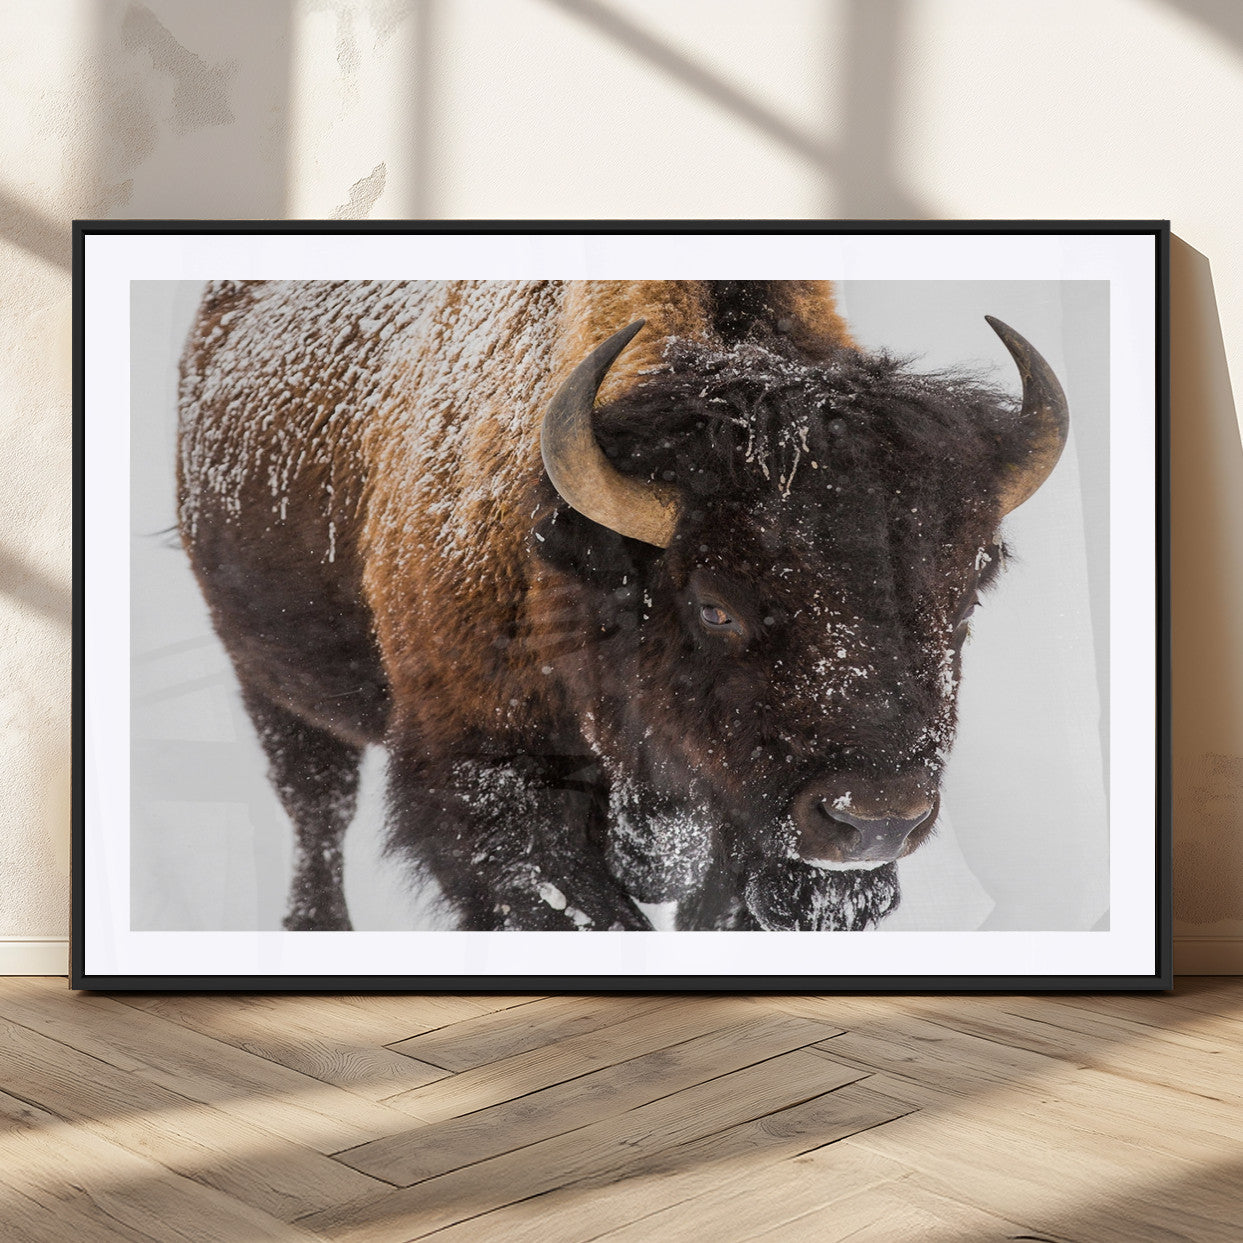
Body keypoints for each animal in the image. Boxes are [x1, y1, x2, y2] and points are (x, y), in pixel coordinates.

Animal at [176, 279, 1067, 932]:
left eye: (966, 591)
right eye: (714, 606)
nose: (875, 817)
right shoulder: (491, 787)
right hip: (272, 681)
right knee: (316, 810)